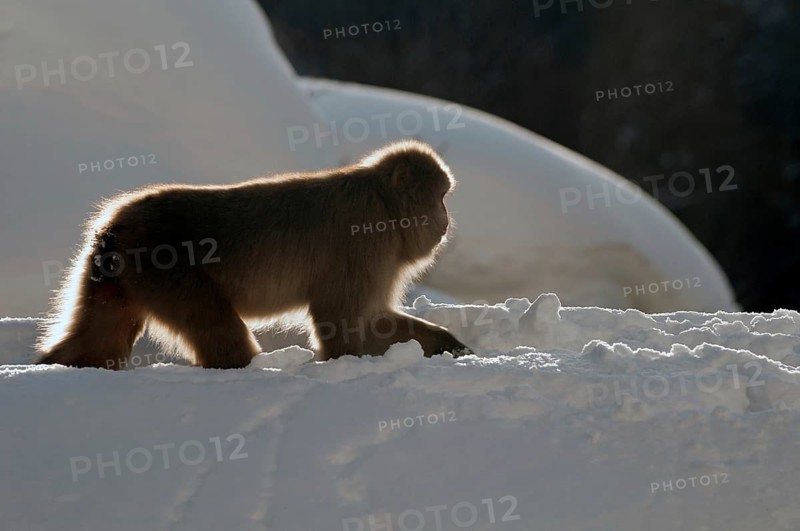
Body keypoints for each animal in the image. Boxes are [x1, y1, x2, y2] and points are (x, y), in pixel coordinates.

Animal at [36, 140, 472, 370]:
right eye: (440, 197)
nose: (447, 219)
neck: (385, 206)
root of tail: (115, 225)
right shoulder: (366, 244)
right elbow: (343, 319)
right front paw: (345, 365)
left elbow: (374, 320)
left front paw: (450, 346)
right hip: (165, 268)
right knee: (218, 329)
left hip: (120, 276)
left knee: (99, 335)